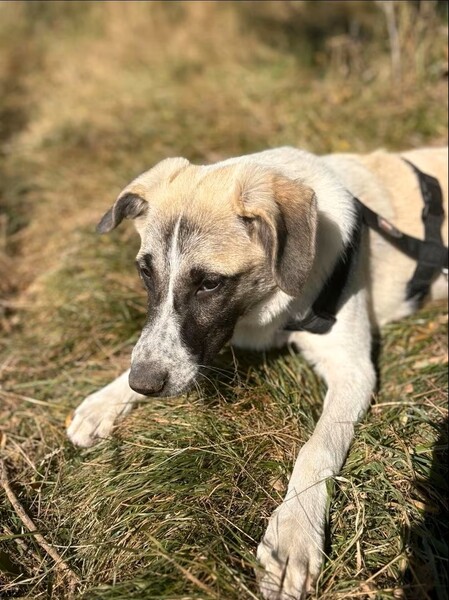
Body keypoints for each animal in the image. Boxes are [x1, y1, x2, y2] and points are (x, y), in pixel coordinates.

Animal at [67, 146, 448, 600]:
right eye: (145, 271)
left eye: (210, 283)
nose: (144, 383)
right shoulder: (224, 335)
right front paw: (103, 402)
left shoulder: (353, 370)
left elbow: (315, 448)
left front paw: (293, 535)